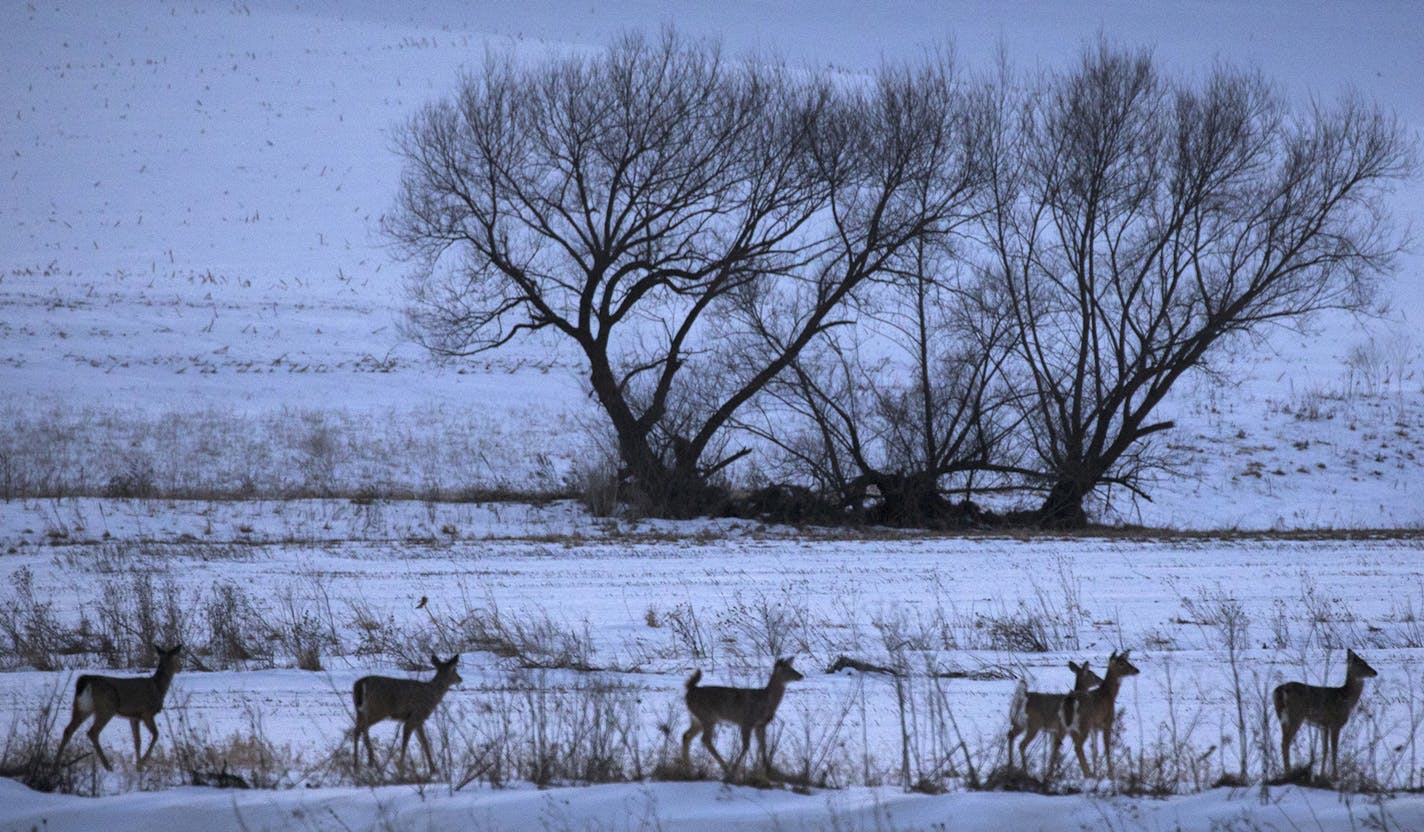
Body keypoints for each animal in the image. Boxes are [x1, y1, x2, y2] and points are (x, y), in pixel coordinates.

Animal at [56, 643, 185, 775]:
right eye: (177, 658)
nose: (181, 667)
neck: (158, 688)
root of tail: (85, 681)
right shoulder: (146, 712)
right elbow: (155, 735)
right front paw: (142, 762)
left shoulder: (134, 717)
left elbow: (137, 741)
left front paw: (138, 766)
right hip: (106, 707)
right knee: (92, 732)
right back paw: (108, 766)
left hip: (82, 707)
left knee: (68, 730)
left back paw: (57, 764)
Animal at [1070, 649, 1144, 780]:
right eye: (1121, 663)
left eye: (1127, 660)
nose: (1136, 670)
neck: (1108, 695)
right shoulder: (1107, 721)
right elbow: (1107, 747)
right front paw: (1110, 774)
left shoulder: (1095, 726)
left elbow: (1095, 750)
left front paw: (1097, 772)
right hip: (1083, 724)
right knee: (1077, 747)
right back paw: (1087, 774)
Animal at [1275, 646, 1372, 775]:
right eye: (1362, 663)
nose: (1374, 672)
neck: (1345, 698)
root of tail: (1279, 691)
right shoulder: (1335, 723)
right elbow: (1334, 749)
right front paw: (1335, 774)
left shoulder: (1323, 725)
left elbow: (1325, 749)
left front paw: (1322, 773)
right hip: (1295, 715)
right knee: (1285, 743)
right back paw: (1288, 771)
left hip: (1283, 718)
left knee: (1283, 742)